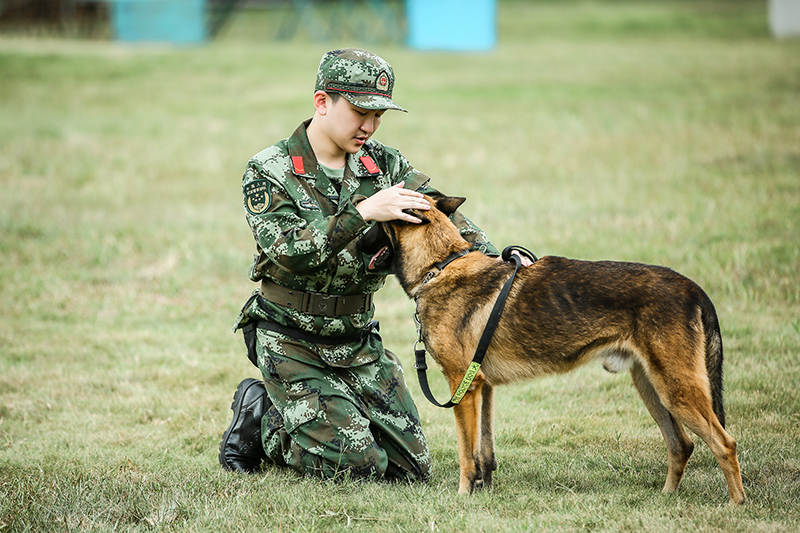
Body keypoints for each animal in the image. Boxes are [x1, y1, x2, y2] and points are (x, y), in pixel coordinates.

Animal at [360, 194, 748, 502]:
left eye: (377, 221)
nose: (355, 231)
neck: (440, 265)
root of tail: (694, 289)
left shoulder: (463, 387)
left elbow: (465, 454)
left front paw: (462, 496)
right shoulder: (482, 387)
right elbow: (485, 451)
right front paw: (484, 491)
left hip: (676, 390)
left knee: (724, 443)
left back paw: (735, 504)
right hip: (652, 387)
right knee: (682, 444)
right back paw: (666, 498)